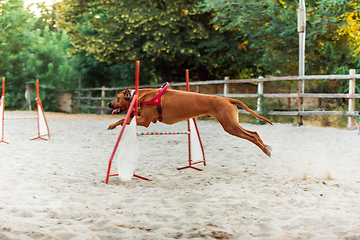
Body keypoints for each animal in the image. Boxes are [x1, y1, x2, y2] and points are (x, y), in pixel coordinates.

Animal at [107, 87, 272, 157]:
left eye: (116, 97)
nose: (108, 104)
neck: (143, 95)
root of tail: (227, 99)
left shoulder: (145, 121)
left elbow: (123, 118)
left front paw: (112, 124)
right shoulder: (147, 117)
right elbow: (128, 117)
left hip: (230, 126)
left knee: (252, 135)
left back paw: (265, 150)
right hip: (232, 125)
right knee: (254, 132)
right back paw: (266, 146)